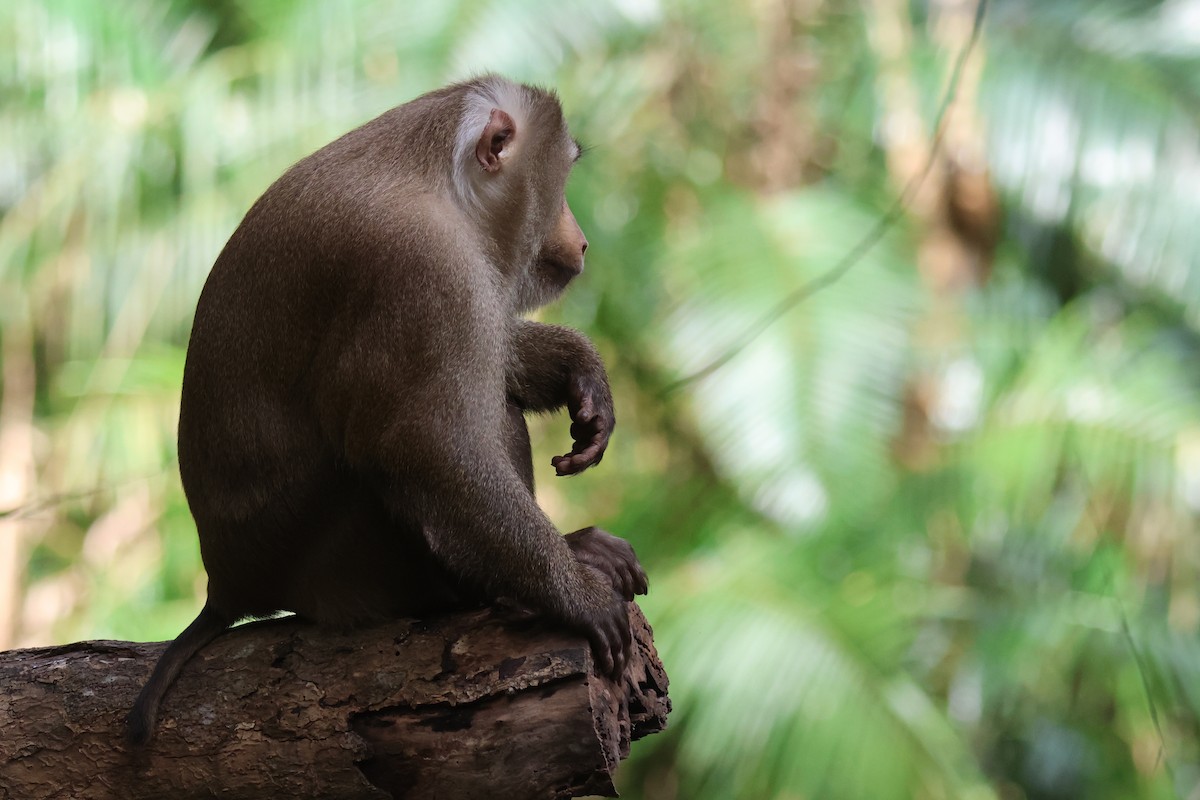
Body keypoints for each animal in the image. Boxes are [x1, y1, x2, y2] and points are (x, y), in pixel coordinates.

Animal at [125, 75, 647, 745]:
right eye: (560, 179)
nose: (579, 238)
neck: (445, 186)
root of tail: (228, 583)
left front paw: (579, 370)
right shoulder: (422, 271)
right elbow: (425, 449)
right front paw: (577, 596)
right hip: (343, 561)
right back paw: (494, 588)